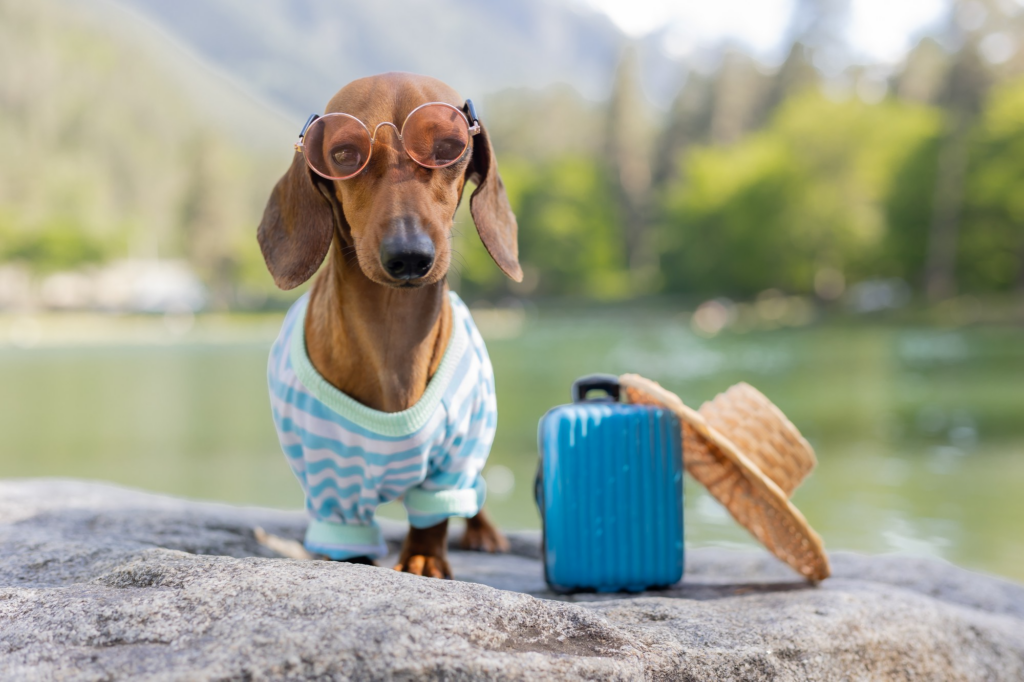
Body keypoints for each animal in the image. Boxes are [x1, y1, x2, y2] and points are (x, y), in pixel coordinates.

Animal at [254, 73, 524, 573]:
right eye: (344, 154)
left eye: (448, 147)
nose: (410, 256)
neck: (392, 333)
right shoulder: (330, 480)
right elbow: (349, 542)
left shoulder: (455, 458)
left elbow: (435, 516)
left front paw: (423, 558)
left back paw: (483, 531)